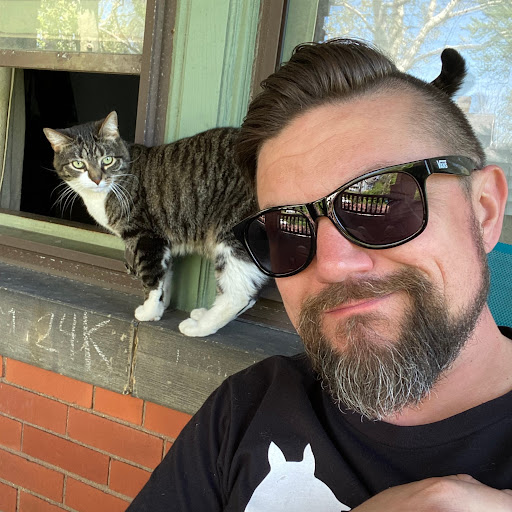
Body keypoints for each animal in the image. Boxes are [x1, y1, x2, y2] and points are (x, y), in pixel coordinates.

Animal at [43, 113, 267, 337]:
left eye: (107, 160)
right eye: (78, 164)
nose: (97, 179)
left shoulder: (146, 237)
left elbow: (151, 277)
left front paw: (149, 311)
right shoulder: (164, 240)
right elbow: (164, 276)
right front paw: (160, 307)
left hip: (233, 231)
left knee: (239, 293)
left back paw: (199, 327)